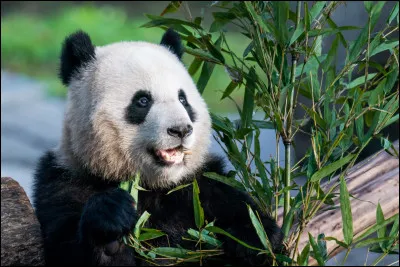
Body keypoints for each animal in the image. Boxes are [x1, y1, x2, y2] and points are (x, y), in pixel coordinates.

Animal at [33, 28, 284, 266]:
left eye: (183, 100)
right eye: (143, 100)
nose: (181, 130)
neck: (154, 186)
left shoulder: (202, 184)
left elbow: (247, 216)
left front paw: (253, 239)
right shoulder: (65, 182)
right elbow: (69, 245)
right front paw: (110, 228)